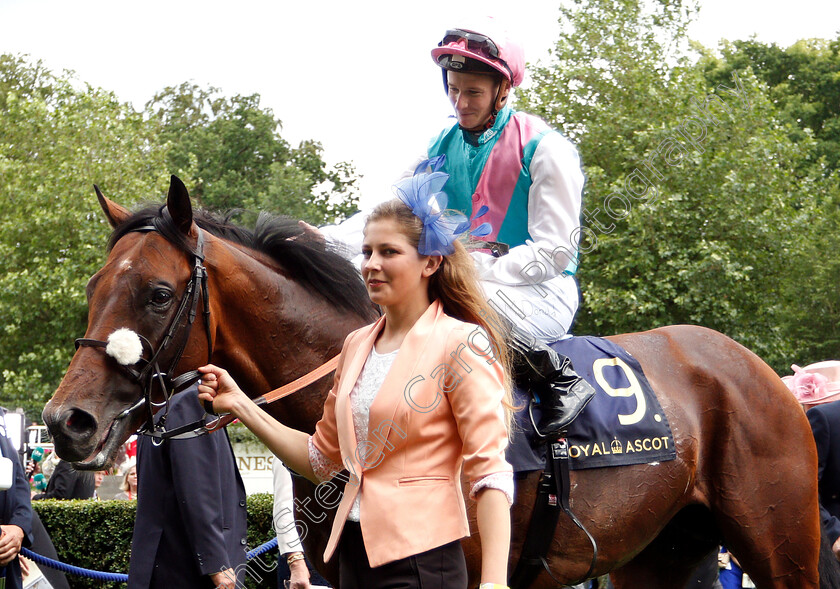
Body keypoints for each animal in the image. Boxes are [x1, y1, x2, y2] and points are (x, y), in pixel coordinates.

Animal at [44, 177, 832, 584]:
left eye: (156, 292)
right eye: (92, 288)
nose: (65, 421)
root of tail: (757, 371)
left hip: (781, 544)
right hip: (663, 552)